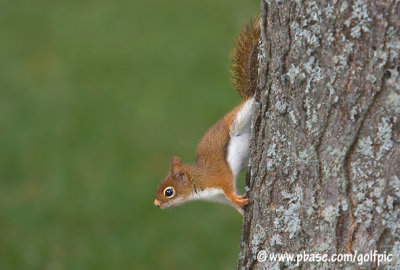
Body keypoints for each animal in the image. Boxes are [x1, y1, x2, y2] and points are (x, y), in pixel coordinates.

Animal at [152, 19, 260, 216]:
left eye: (168, 192)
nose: (156, 204)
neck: (198, 181)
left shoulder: (218, 177)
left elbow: (228, 186)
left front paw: (236, 199)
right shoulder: (219, 196)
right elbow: (232, 201)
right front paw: (241, 210)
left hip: (236, 120)